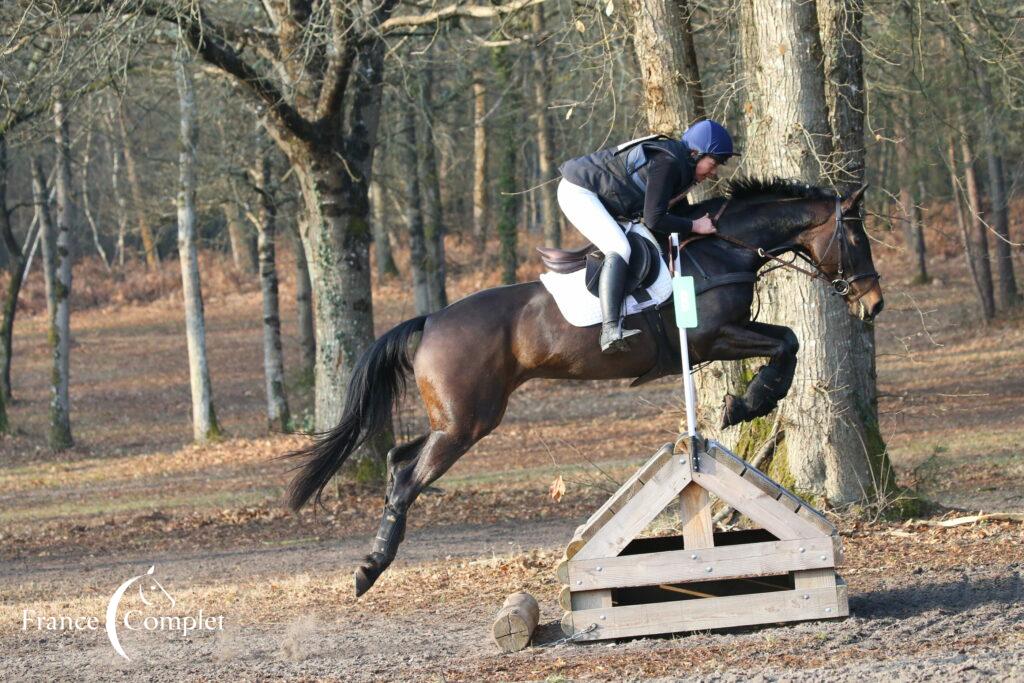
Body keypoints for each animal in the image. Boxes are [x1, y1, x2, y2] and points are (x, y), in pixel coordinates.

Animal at [284, 178, 884, 598]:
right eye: (857, 237)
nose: (874, 305)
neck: (723, 248)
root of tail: (431, 319)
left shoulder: (721, 337)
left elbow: (787, 341)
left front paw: (747, 402)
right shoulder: (711, 336)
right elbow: (787, 342)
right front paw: (748, 402)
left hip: (455, 419)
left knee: (397, 459)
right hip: (467, 422)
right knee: (408, 477)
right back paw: (369, 570)